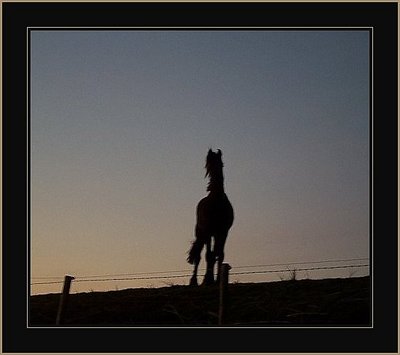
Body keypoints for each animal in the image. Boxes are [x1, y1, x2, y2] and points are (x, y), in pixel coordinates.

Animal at [188, 149, 234, 286]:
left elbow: (220, 254)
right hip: (201, 232)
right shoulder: (209, 231)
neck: (217, 199)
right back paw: (193, 280)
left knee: (213, 254)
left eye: (221, 164)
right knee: (199, 255)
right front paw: (207, 279)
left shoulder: (223, 232)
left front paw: (218, 280)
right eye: (210, 163)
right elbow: (209, 255)